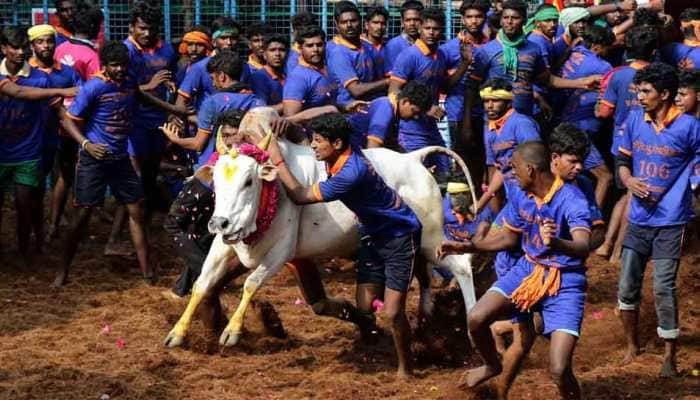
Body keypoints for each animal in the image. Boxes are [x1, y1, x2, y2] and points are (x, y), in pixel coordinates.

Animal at [165, 108, 482, 348]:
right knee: (423, 273)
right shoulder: (224, 245)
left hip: (431, 237)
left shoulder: (280, 253)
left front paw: (232, 330)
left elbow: (251, 284)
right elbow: (202, 283)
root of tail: (412, 158)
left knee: (461, 265)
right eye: (217, 182)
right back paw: (422, 318)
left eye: (248, 181)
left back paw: (470, 324)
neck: (270, 194)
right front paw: (178, 332)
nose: (219, 222)